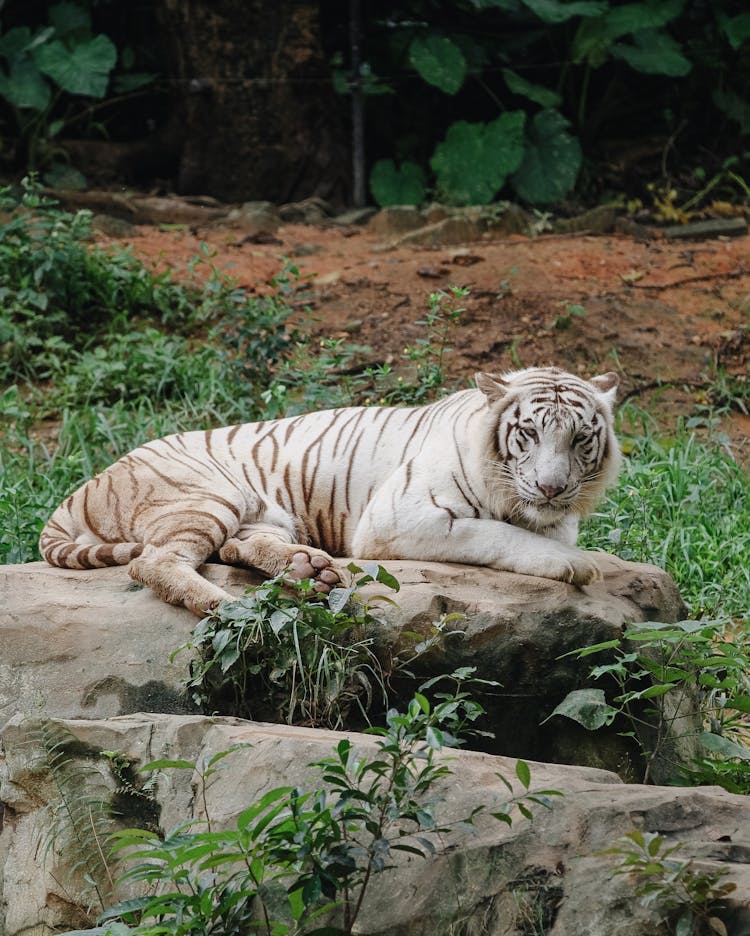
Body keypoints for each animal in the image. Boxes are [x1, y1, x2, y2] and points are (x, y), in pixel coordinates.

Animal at [39, 366, 624, 616]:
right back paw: (221, 604)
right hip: (206, 494)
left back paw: (309, 570)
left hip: (261, 512)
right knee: (154, 561)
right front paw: (575, 565)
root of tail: (86, 484)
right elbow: (496, 536)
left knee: (236, 545)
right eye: (529, 434)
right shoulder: (399, 517)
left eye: (580, 438)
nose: (551, 486)